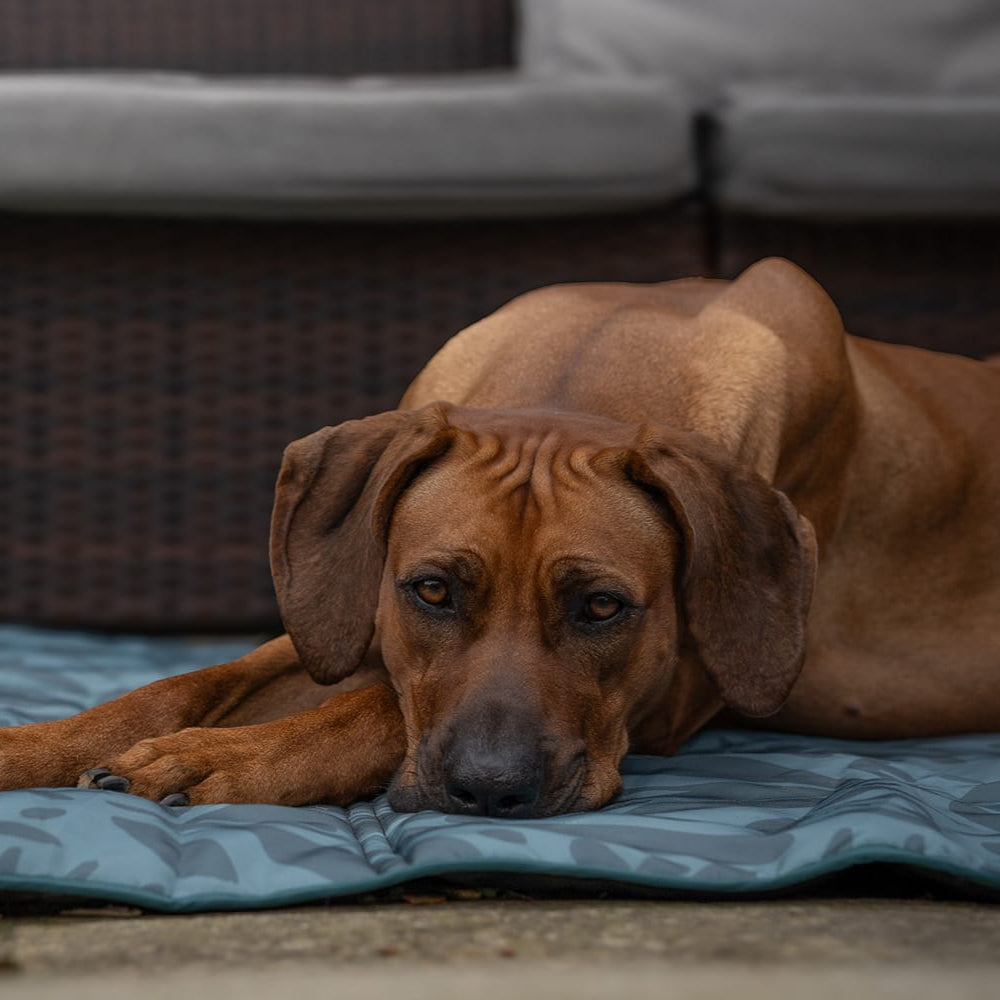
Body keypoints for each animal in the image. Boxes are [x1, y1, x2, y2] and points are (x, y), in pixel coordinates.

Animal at [1, 262, 1000, 816]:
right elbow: (182, 685)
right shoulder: (349, 608)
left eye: (602, 608)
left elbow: (374, 708)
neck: (584, 373)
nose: (490, 791)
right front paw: (40, 745)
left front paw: (221, 757)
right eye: (434, 591)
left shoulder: (679, 688)